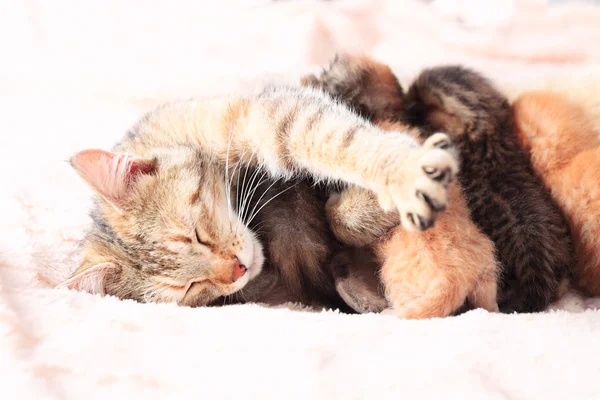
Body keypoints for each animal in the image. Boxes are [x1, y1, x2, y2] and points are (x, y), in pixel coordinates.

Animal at [58, 86, 458, 308]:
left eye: (195, 235)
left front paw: (405, 174)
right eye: (188, 288)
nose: (237, 268)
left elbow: (339, 142)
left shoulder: (272, 117)